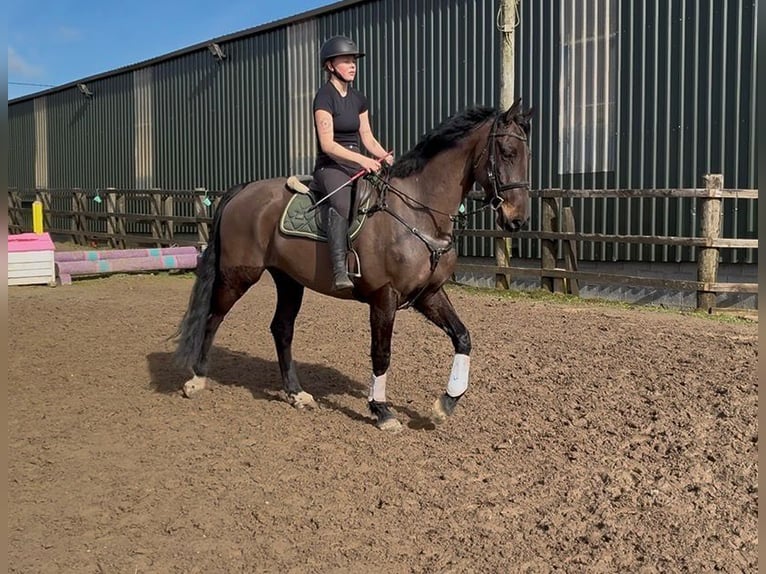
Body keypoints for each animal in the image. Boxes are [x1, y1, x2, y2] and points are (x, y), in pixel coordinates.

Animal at [173, 99, 533, 432]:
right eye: (506, 152)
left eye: (527, 155)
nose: (517, 219)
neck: (419, 212)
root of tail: (243, 190)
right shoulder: (384, 298)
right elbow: (381, 352)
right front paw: (382, 410)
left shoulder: (429, 295)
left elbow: (463, 337)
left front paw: (445, 403)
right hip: (238, 275)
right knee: (213, 318)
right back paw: (196, 380)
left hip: (288, 280)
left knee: (281, 329)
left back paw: (295, 393)